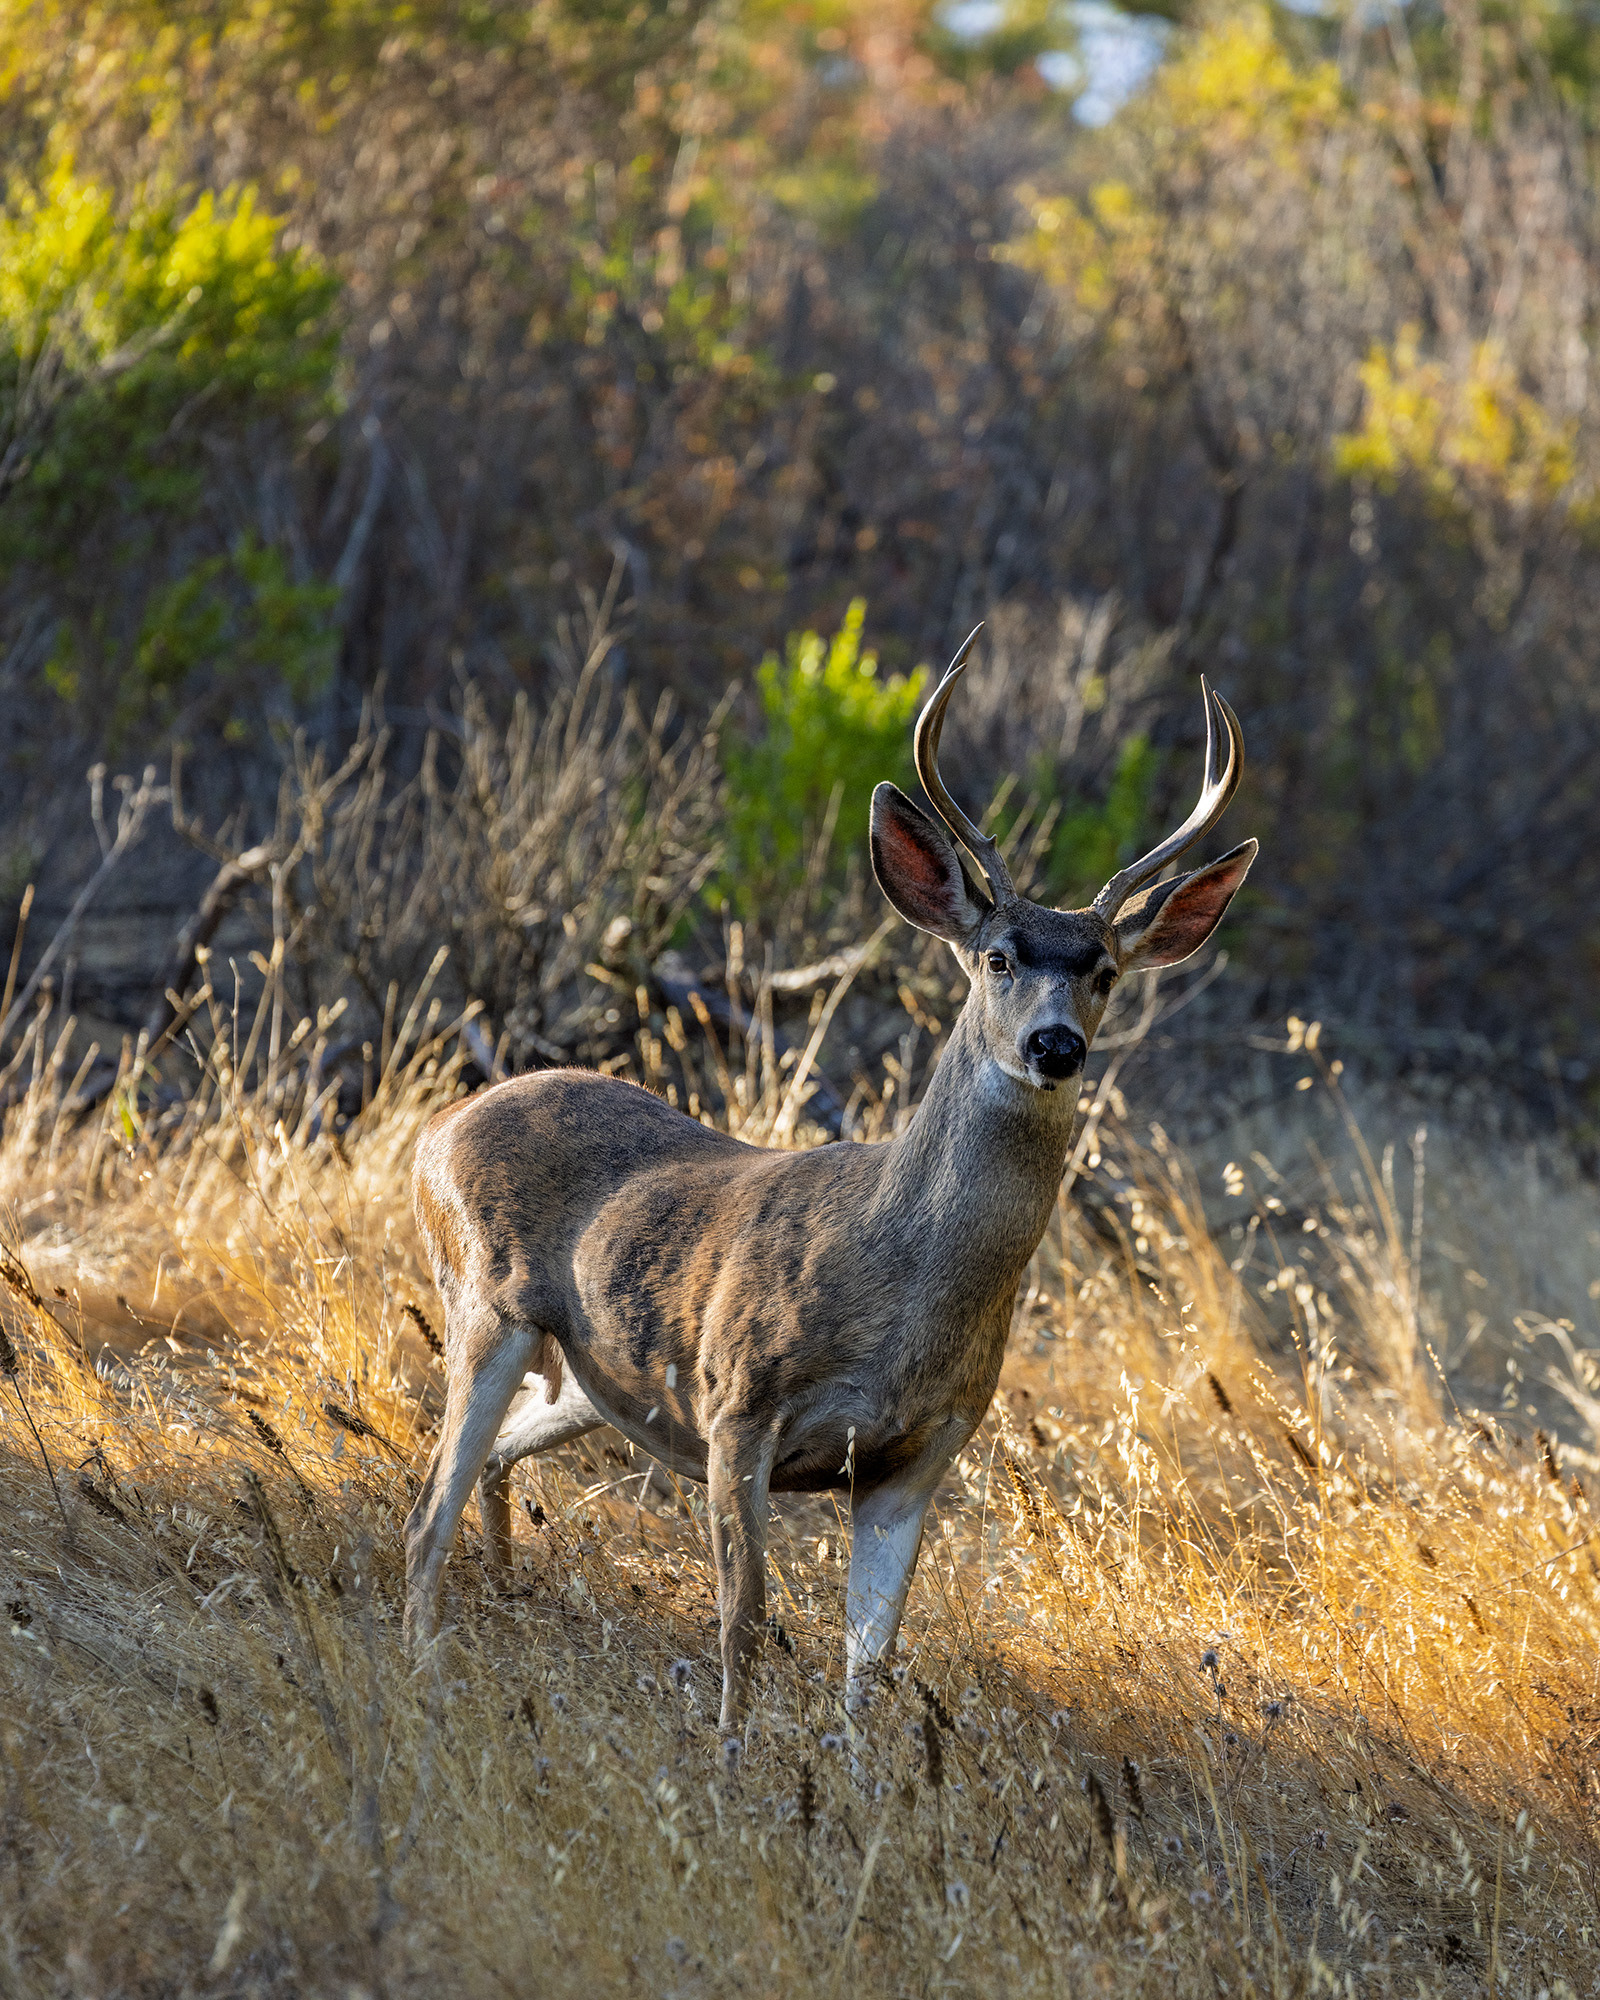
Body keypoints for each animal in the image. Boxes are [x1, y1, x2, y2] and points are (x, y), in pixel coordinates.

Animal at [404, 631, 1256, 1730]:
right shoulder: (738, 1402)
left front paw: (854, 1771)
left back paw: (504, 1594)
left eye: (1105, 968)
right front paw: (732, 1756)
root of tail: (439, 1125)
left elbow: (870, 1666)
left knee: (497, 1457)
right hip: (484, 1302)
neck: (901, 1289)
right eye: (997, 955)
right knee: (426, 1510)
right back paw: (424, 1676)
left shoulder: (918, 1456)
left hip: (593, 1373)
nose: (1055, 1044)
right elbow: (743, 1624)